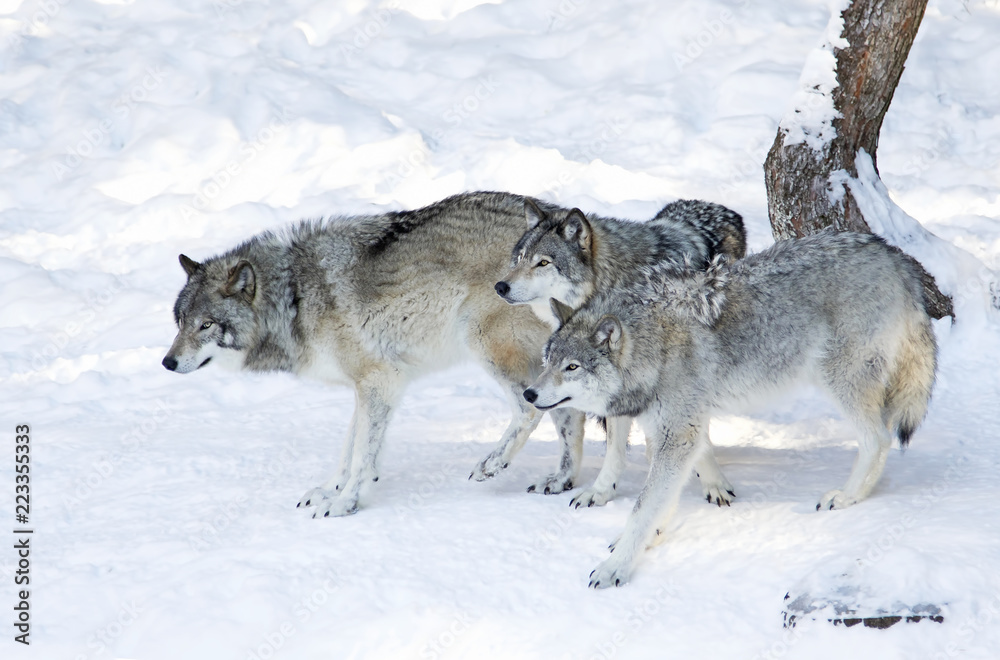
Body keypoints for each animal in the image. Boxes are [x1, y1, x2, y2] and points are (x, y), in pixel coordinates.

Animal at [162, 191, 604, 517]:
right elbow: (350, 447)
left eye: (206, 325)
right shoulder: (366, 386)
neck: (294, 297)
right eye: (180, 322)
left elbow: (361, 453)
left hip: (486, 344)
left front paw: (345, 503)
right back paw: (560, 481)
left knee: (530, 409)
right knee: (569, 416)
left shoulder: (378, 381)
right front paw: (331, 490)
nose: (167, 363)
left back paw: (493, 464)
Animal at [495, 199, 746, 508]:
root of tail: (718, 206)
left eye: (543, 262)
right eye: (519, 258)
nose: (500, 286)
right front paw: (600, 492)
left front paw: (713, 484)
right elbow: (614, 450)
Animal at [524, 231, 937, 588]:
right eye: (548, 360)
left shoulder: (679, 434)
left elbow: (643, 507)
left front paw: (615, 567)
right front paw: (652, 536)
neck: (655, 346)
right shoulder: (671, 432)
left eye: (572, 367)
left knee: (879, 438)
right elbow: (662, 499)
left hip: (838, 380)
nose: (528, 393)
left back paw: (848, 497)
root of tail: (893, 254)